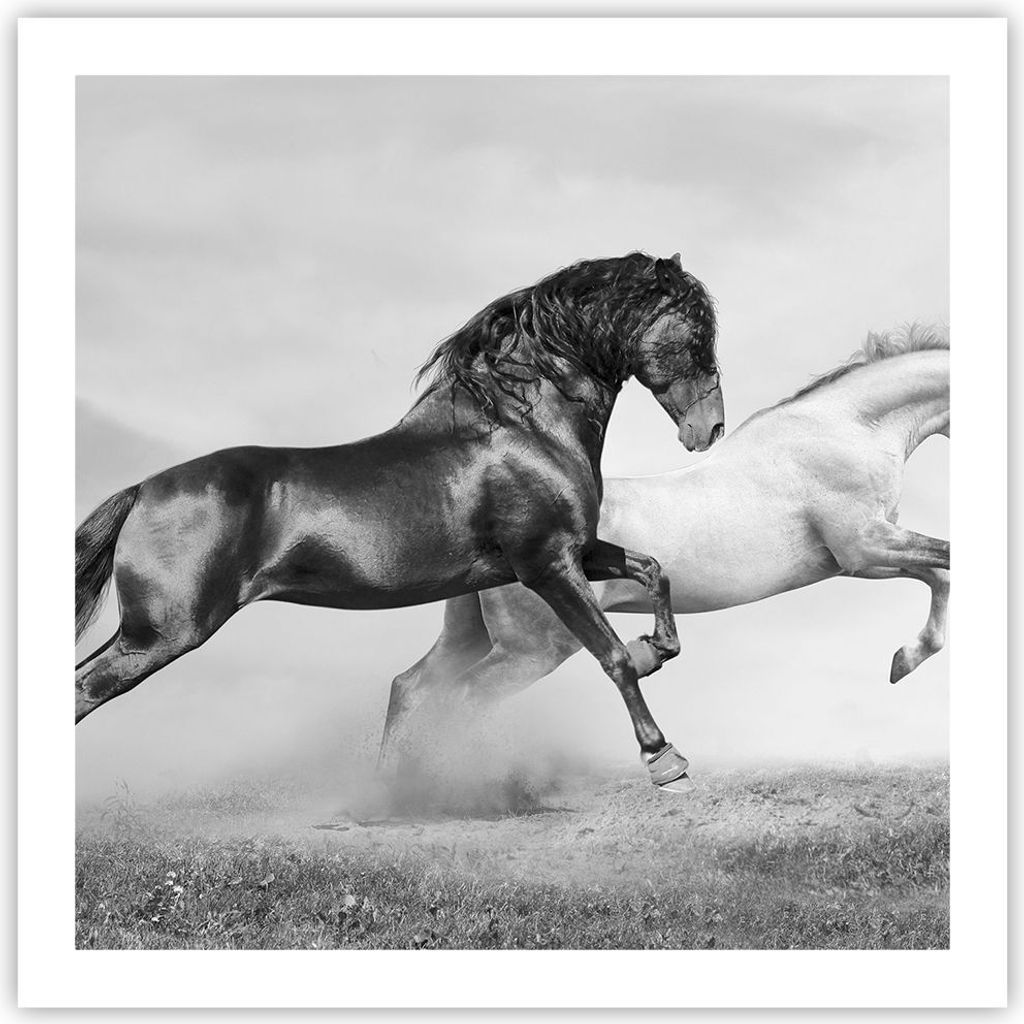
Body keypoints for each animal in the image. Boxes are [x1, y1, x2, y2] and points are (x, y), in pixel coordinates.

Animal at [75, 252, 725, 790]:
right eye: (696, 331)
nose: (710, 429)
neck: (523, 428)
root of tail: (142, 490)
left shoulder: (578, 551)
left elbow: (653, 569)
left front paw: (656, 647)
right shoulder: (547, 564)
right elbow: (611, 656)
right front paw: (664, 759)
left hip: (146, 634)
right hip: (163, 633)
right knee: (84, 689)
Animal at [379, 323, 950, 782]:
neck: (849, 427)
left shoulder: (864, 559)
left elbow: (939, 576)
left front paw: (904, 660)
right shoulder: (864, 547)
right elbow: (948, 561)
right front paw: (908, 658)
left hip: (472, 637)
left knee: (411, 687)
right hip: (531, 652)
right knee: (461, 700)